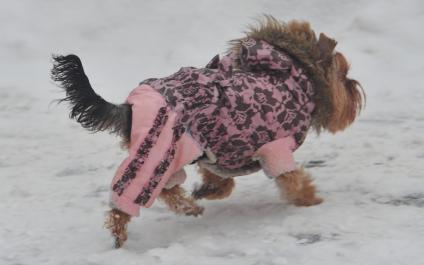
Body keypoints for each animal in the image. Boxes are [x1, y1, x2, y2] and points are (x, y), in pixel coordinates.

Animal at [52, 17, 364, 248]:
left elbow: (222, 182)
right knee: (131, 193)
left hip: (175, 149)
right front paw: (311, 200)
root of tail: (128, 106)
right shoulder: (275, 149)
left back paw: (189, 207)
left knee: (167, 187)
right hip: (159, 143)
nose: (356, 89)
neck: (300, 80)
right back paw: (120, 231)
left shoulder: (216, 148)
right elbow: (292, 178)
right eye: (345, 75)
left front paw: (206, 191)